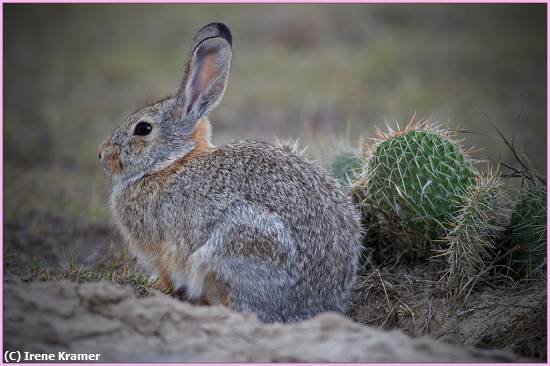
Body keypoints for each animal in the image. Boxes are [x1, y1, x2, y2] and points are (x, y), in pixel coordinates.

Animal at [98, 22, 366, 324]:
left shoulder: (162, 250)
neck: (170, 162)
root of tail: (308, 309)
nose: (102, 154)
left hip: (235, 246)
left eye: (143, 129)